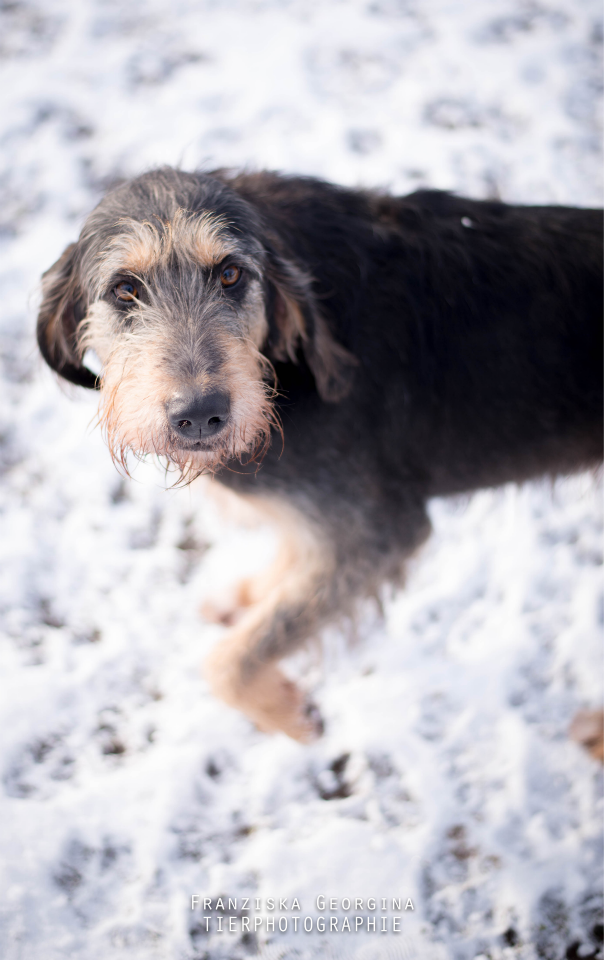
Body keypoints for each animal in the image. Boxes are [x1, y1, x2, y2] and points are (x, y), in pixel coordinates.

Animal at [36, 169, 604, 744]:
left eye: (231, 274)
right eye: (125, 289)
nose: (199, 415)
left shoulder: (382, 533)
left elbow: (229, 662)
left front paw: (286, 713)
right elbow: (291, 565)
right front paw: (253, 597)